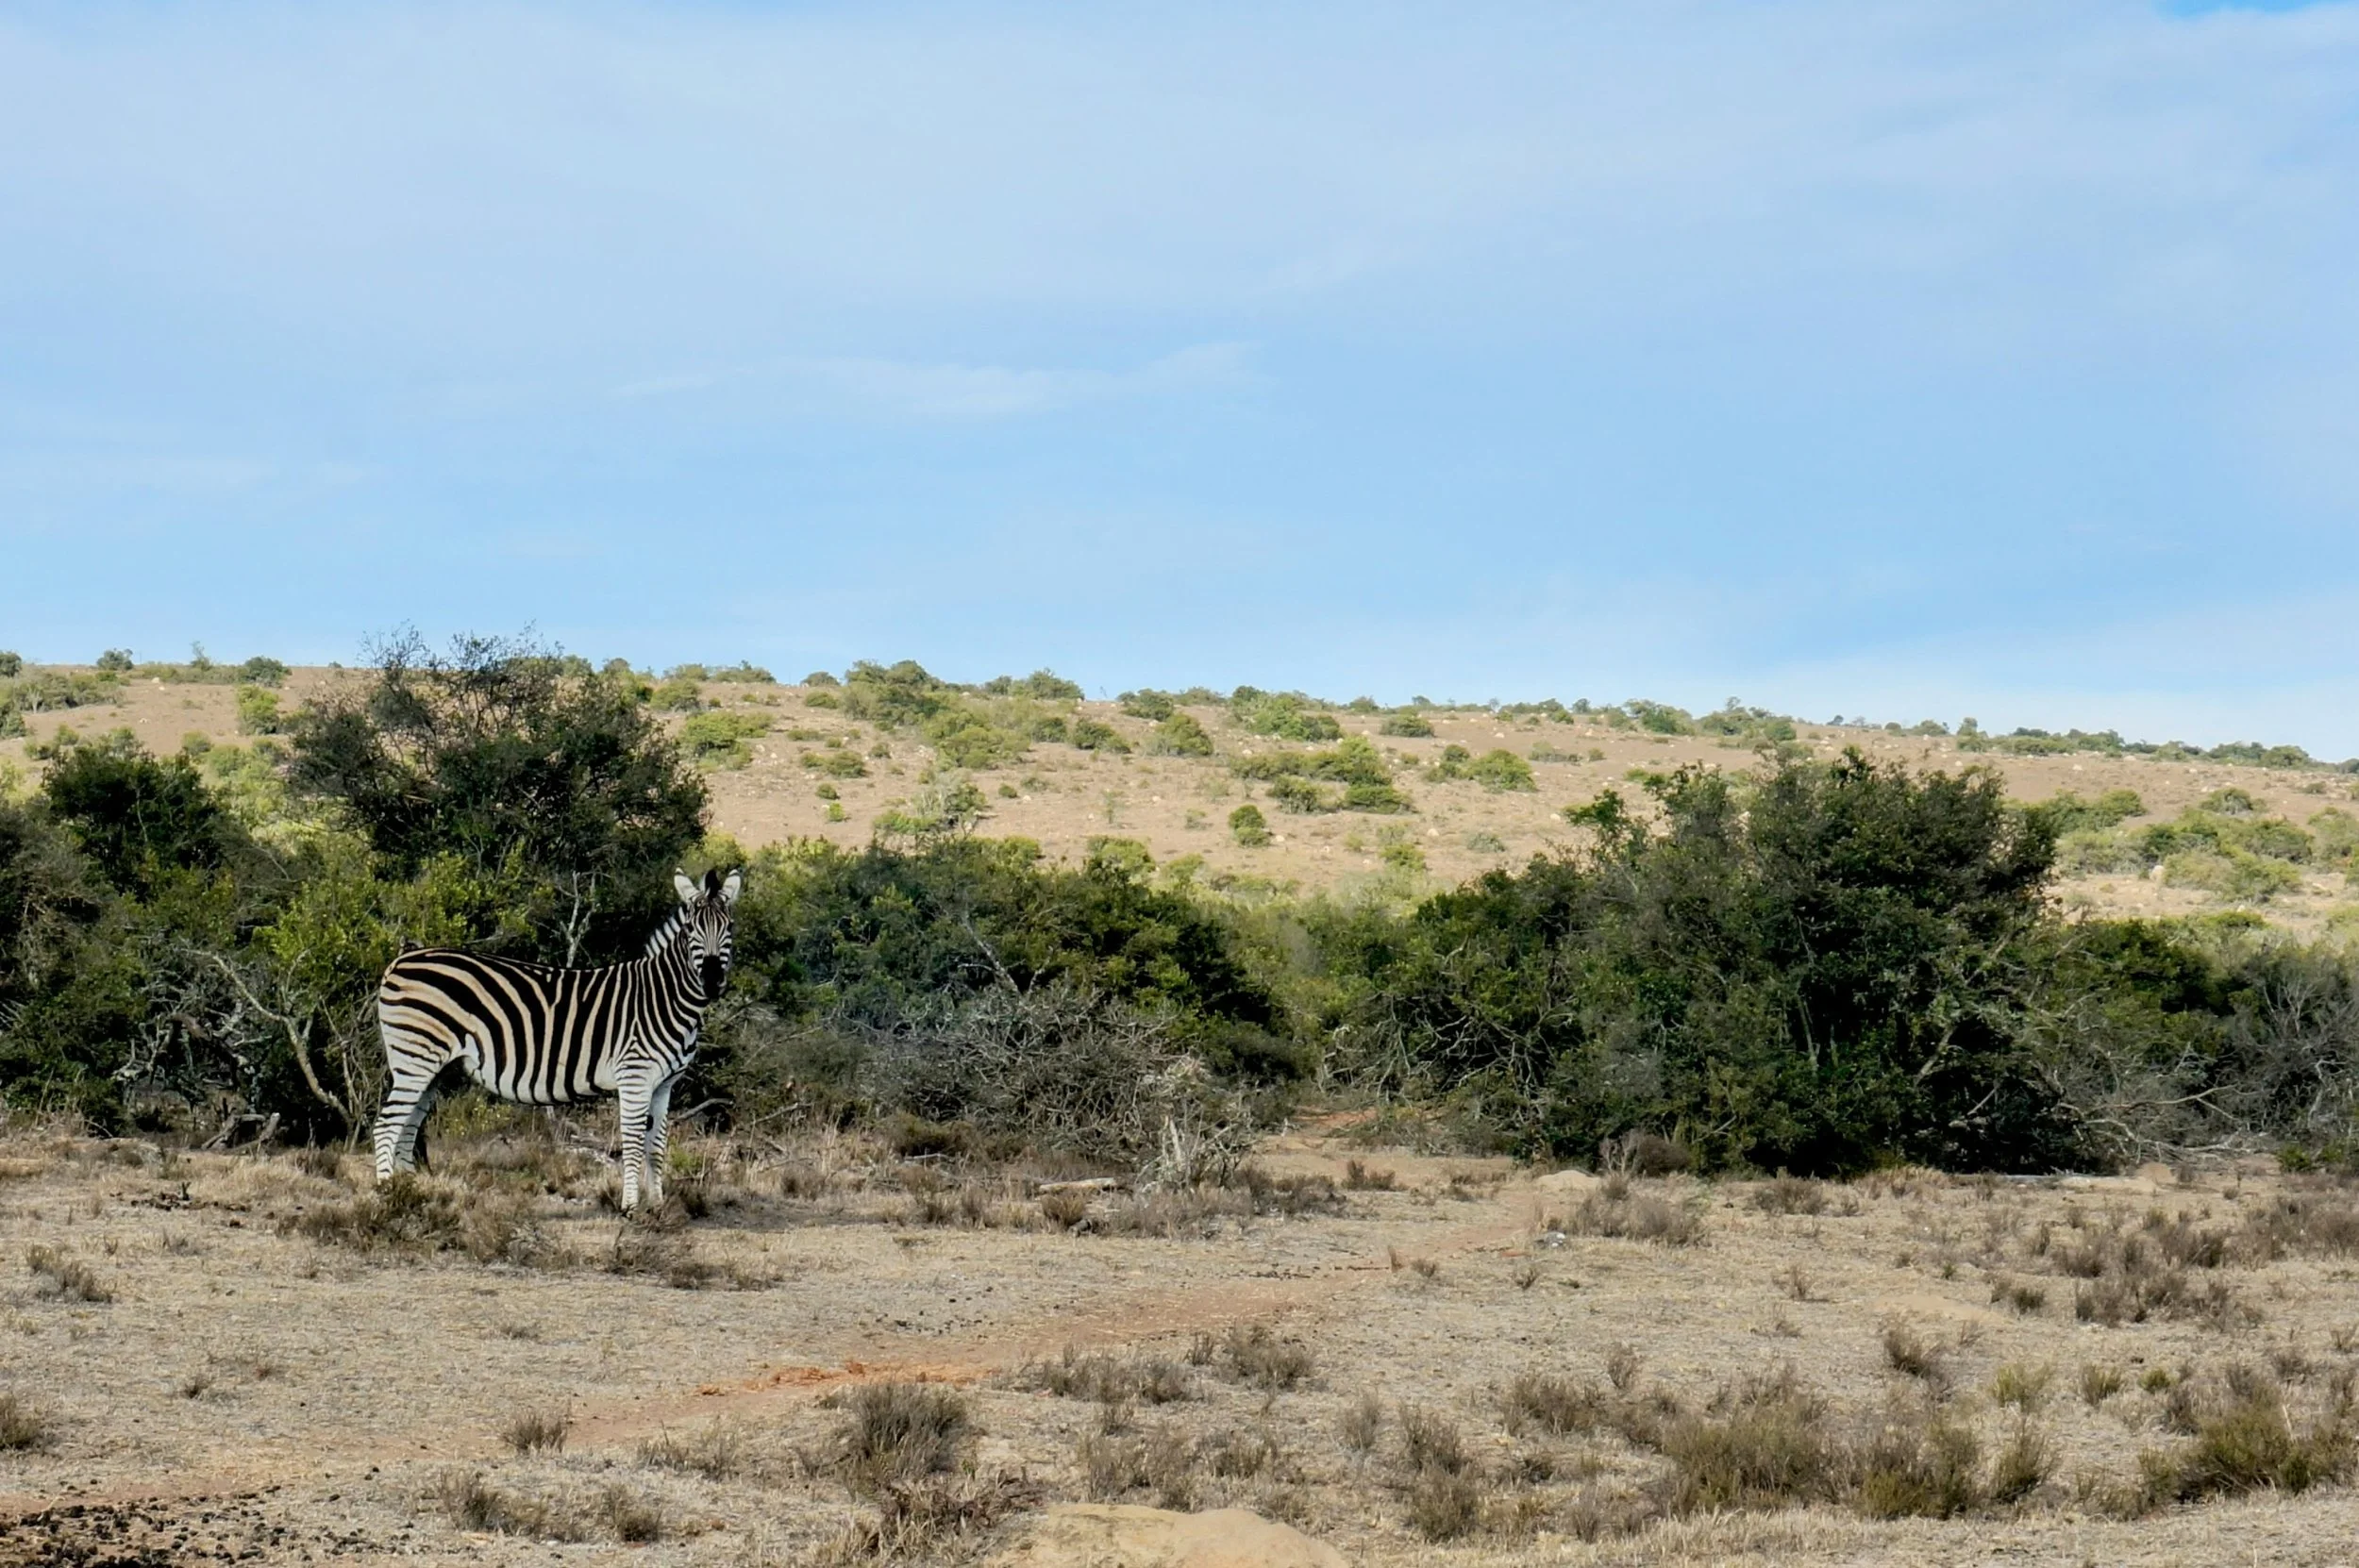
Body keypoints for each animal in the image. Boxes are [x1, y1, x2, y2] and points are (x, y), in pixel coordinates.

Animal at [370, 867, 742, 1211]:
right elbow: (634, 1141)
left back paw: (413, 1193)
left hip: (433, 1067)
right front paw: (630, 1208)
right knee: (387, 1126)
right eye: (691, 930)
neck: (664, 997)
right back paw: (389, 1198)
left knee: (407, 1127)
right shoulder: (635, 1075)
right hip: (415, 1059)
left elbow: (657, 1144)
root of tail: (401, 960)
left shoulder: (665, 1084)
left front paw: (658, 1207)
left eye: (729, 928)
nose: (711, 980)